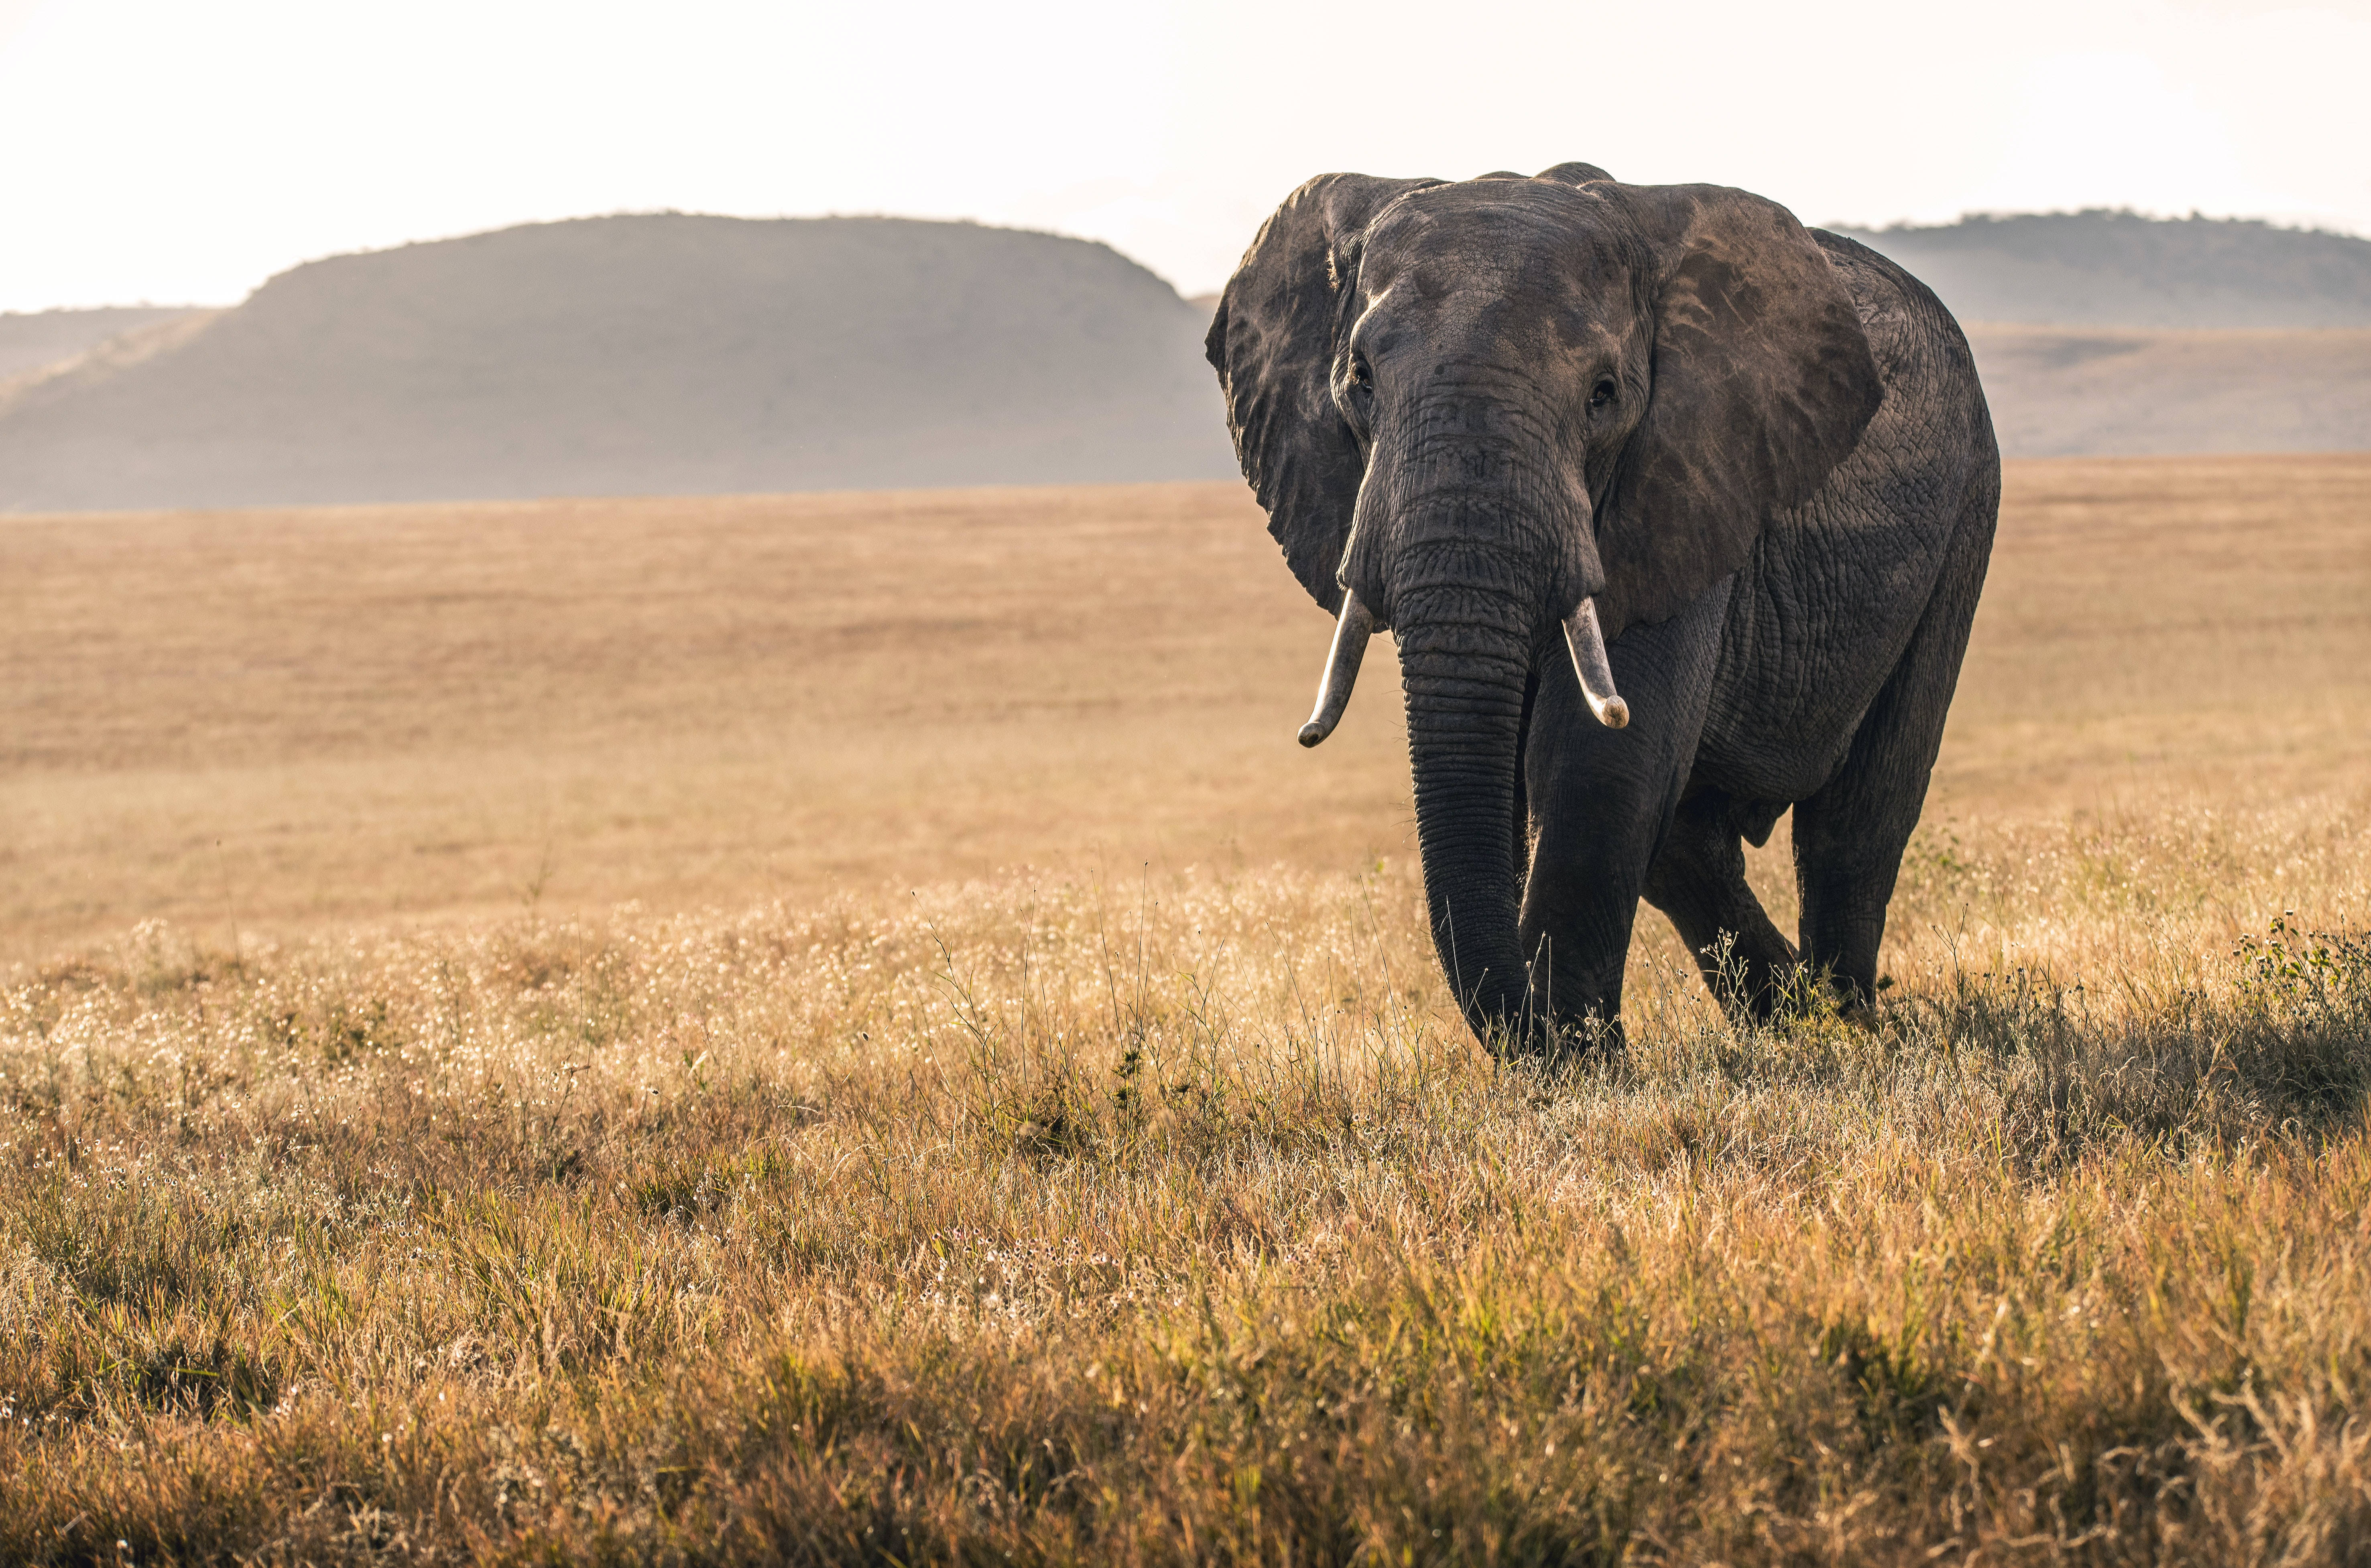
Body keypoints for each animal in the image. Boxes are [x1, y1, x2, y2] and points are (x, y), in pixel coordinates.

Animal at [1206, 163, 1999, 1053]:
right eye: (1359, 381)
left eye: (1603, 395)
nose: (1535, 1027)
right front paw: (1571, 1052)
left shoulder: (1686, 475)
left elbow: (1596, 762)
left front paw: (1580, 1064)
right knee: (1690, 845)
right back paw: (1787, 1023)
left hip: (1967, 507)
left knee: (1855, 820)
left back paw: (1848, 1028)